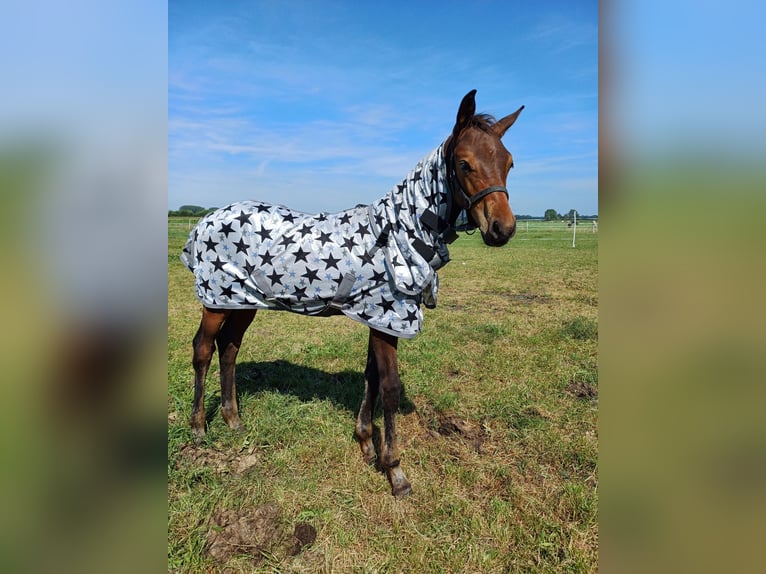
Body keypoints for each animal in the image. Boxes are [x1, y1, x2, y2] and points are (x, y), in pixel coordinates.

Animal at [183, 90, 524, 500]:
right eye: (464, 163)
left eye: (509, 162)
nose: (502, 229)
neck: (397, 232)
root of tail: (206, 220)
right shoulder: (388, 316)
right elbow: (389, 387)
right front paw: (395, 470)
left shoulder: (379, 317)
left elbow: (371, 376)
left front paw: (365, 443)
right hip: (215, 301)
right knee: (204, 350)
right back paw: (199, 427)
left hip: (241, 301)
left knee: (230, 348)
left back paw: (233, 420)